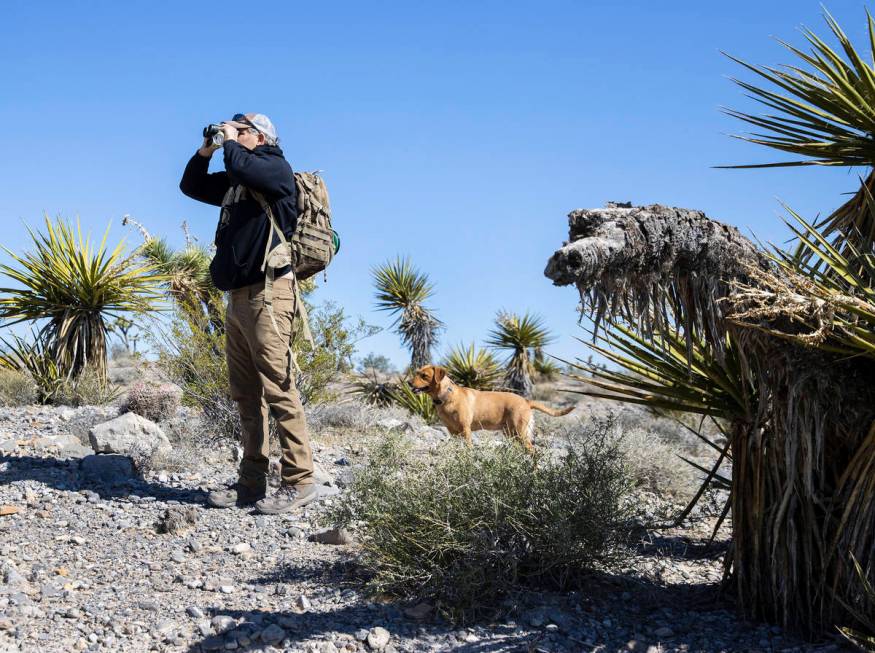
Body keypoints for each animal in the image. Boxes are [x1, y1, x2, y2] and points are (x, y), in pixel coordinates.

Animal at [408, 364, 576, 450]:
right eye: (417, 373)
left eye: (424, 376)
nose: (408, 382)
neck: (446, 397)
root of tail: (526, 401)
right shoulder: (452, 431)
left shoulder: (465, 429)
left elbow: (468, 449)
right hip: (511, 434)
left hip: (520, 432)